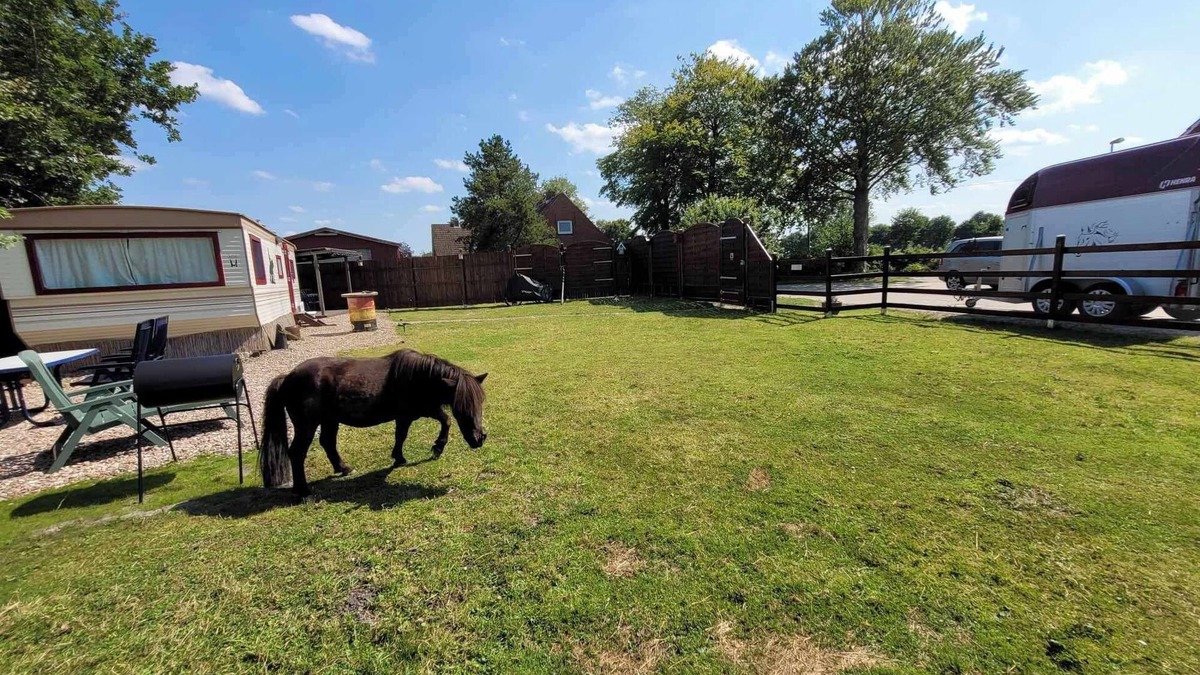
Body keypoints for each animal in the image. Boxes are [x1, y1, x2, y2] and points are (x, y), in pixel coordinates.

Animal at [259, 349, 488, 498]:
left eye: (480, 403)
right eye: (461, 406)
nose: (478, 439)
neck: (417, 377)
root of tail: (287, 377)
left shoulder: (424, 409)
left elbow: (445, 421)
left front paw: (436, 448)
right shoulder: (406, 416)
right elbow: (402, 435)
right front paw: (401, 457)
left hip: (329, 420)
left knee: (327, 443)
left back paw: (343, 468)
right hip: (307, 425)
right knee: (297, 452)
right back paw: (303, 490)